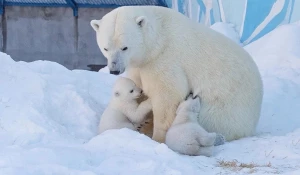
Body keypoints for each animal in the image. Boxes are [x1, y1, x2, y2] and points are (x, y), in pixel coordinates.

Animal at [91, 5, 262, 143]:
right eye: (106, 48)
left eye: (124, 47)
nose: (114, 70)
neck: (157, 40)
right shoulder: (140, 64)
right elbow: (138, 85)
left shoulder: (165, 59)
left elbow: (167, 95)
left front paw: (157, 137)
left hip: (225, 108)